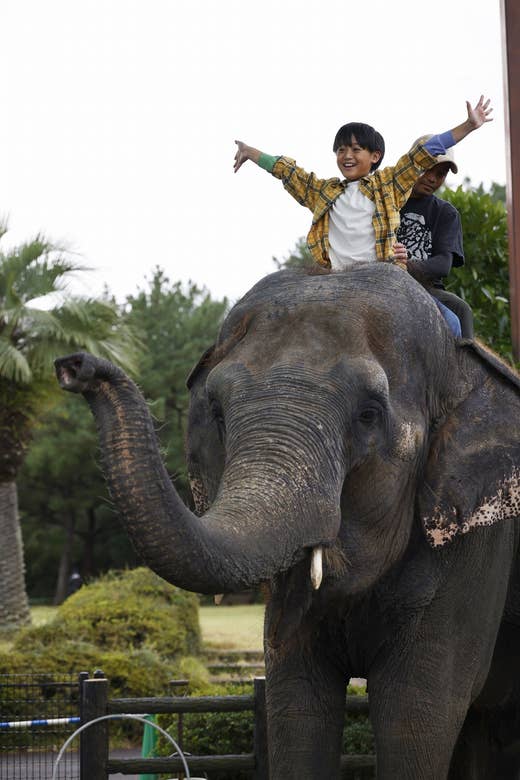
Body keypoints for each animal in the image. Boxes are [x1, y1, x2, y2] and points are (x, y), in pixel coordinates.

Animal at [55, 264, 520, 779]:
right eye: (217, 413)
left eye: (369, 414)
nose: (75, 365)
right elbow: (296, 699)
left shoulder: (479, 536)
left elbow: (417, 705)